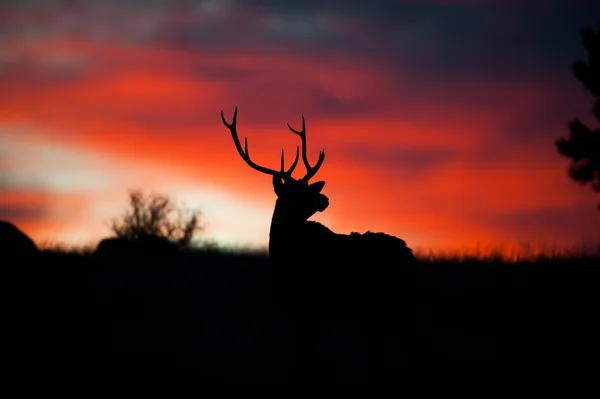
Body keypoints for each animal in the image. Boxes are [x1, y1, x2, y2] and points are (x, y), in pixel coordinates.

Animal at [221, 108, 418, 382]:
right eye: (295, 192)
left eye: (308, 187)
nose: (325, 198)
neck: (283, 257)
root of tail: (410, 256)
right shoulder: (299, 309)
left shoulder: (309, 305)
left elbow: (306, 357)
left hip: (390, 305)